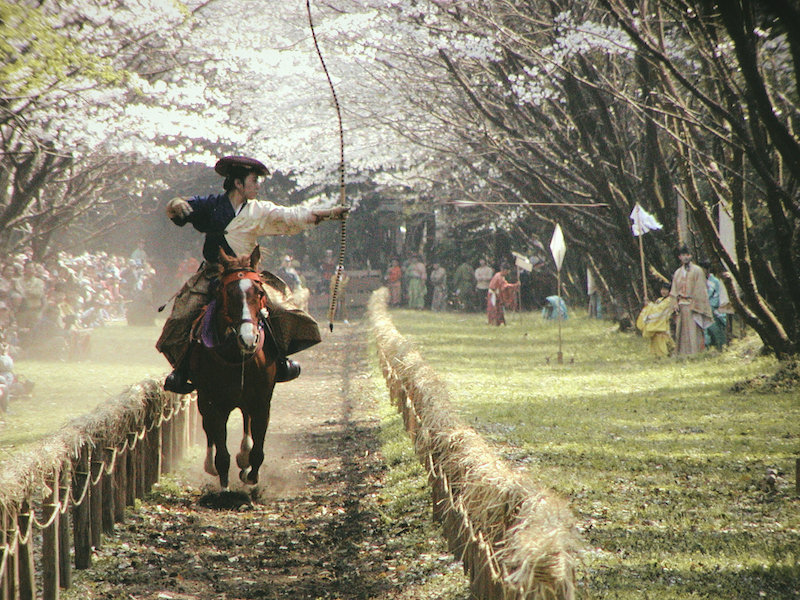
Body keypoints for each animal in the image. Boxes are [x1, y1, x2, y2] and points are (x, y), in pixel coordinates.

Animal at [190, 246, 278, 490]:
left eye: (259, 292)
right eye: (228, 293)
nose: (248, 339)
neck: (236, 357)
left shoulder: (262, 402)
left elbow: (258, 450)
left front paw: (251, 476)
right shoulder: (212, 403)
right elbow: (221, 452)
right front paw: (224, 486)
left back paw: (244, 456)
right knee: (209, 431)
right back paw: (211, 464)